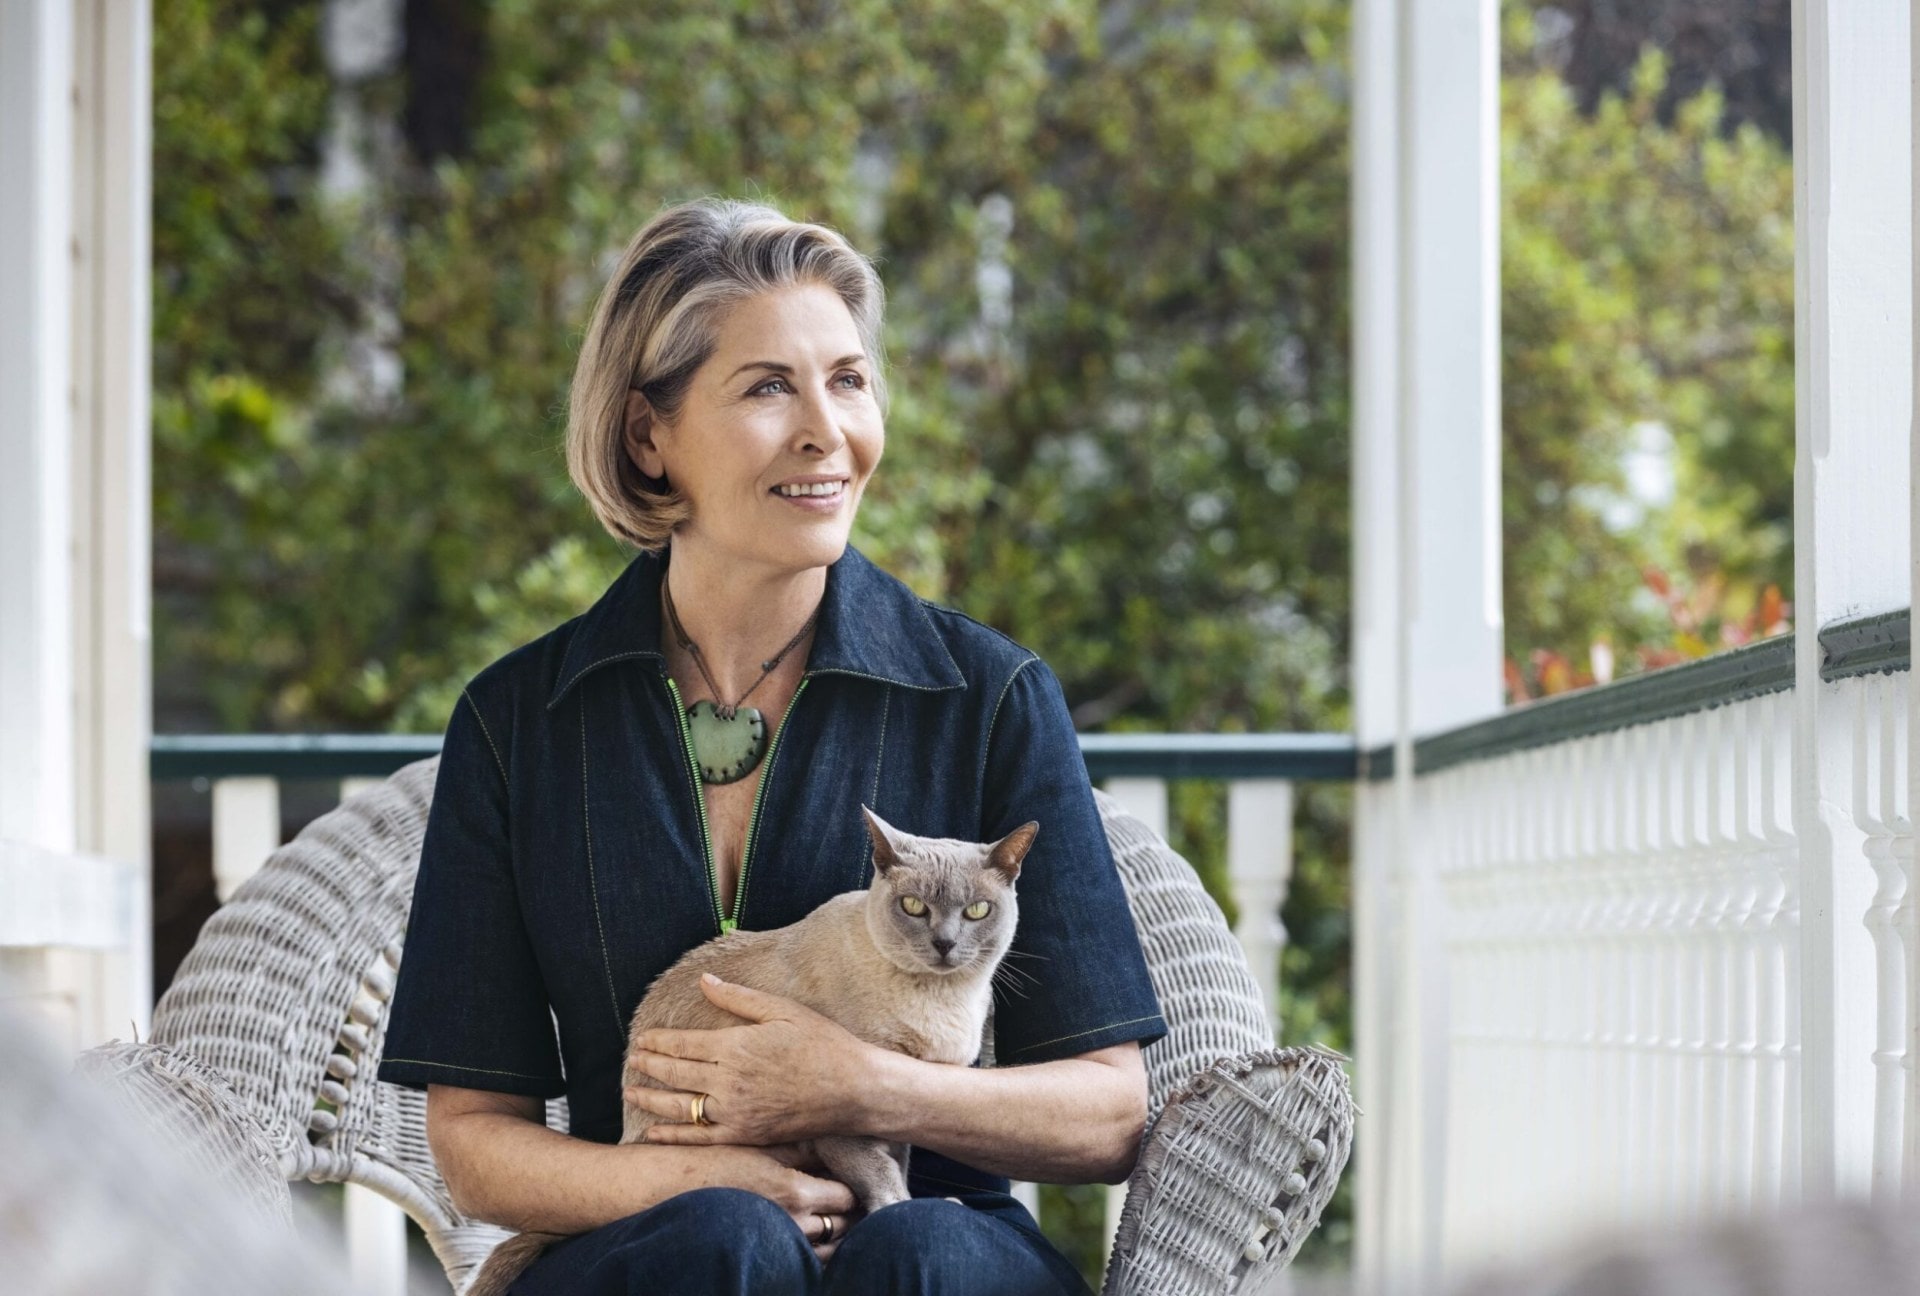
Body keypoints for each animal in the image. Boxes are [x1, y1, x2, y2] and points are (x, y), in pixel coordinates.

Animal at [464, 806, 1036, 1290]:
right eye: (914, 908)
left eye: (977, 911)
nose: (944, 945)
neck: (943, 999)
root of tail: (627, 1140)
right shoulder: (844, 1124)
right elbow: (888, 1186)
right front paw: (905, 1208)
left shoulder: (898, 1112)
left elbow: (898, 1172)